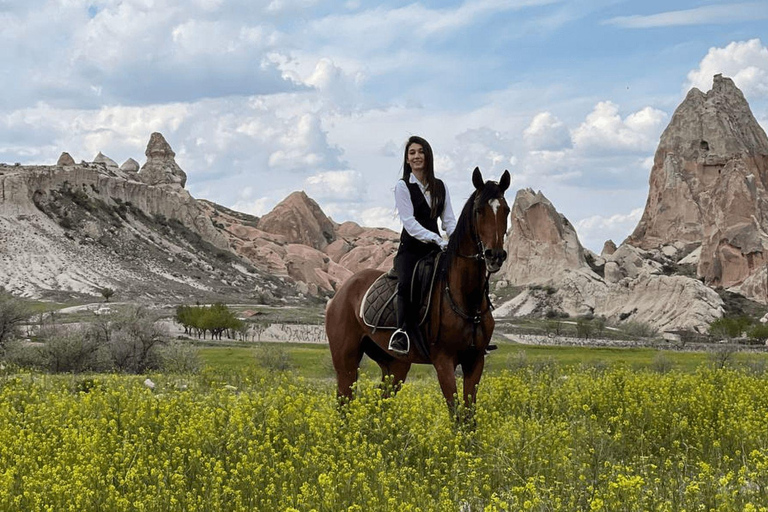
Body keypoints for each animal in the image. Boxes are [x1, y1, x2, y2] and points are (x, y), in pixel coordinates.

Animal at [324, 168, 510, 412]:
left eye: (506, 210)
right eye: (479, 210)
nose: (495, 256)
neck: (465, 298)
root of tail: (341, 293)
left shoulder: (475, 361)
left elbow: (469, 414)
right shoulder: (444, 361)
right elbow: (456, 412)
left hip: (395, 364)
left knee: (381, 403)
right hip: (346, 361)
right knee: (343, 403)